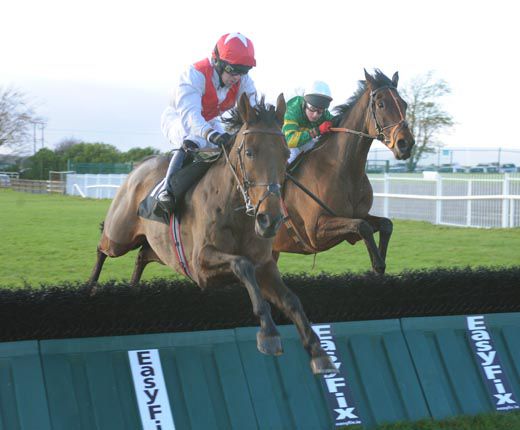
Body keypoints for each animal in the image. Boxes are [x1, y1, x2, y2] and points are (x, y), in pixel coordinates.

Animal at [88, 93, 338, 372]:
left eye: (285, 154)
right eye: (249, 152)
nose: (270, 220)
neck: (236, 211)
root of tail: (139, 166)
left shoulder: (265, 264)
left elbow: (291, 299)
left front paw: (318, 350)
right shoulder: (200, 266)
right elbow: (242, 265)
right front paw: (269, 333)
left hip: (158, 250)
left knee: (142, 256)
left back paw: (131, 291)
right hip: (119, 236)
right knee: (102, 248)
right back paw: (90, 289)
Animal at [272, 70, 414, 272]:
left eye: (404, 104)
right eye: (381, 104)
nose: (405, 144)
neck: (343, 170)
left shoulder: (358, 217)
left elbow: (385, 224)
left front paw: (378, 264)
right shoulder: (315, 230)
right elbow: (363, 227)